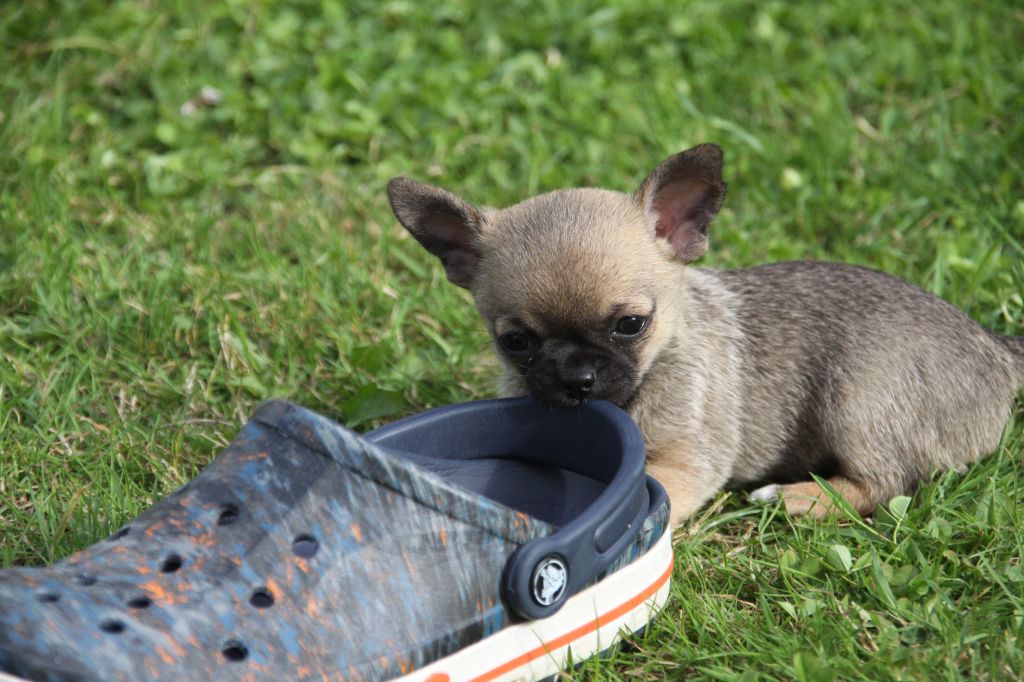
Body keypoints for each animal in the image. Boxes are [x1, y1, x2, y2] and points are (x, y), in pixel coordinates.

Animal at [385, 144, 1024, 524]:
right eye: (515, 342)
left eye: (630, 325)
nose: (576, 377)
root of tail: (994, 350)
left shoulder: (685, 465)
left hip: (859, 401)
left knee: (887, 484)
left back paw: (795, 497)